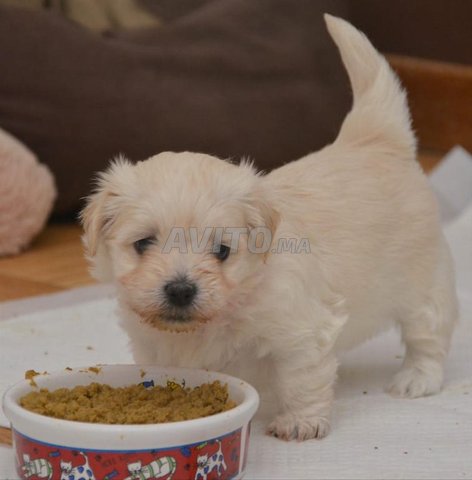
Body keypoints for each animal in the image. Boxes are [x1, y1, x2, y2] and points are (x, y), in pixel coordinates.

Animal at [81, 15, 458, 441]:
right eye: (143, 243)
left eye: (222, 251)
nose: (180, 290)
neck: (232, 303)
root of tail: (374, 139)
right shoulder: (153, 343)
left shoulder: (302, 330)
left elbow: (301, 379)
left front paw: (300, 422)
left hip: (423, 281)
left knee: (429, 334)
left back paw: (416, 378)